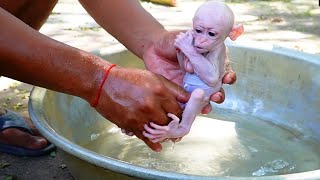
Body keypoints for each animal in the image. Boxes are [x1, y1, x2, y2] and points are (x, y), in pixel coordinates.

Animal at [142, 0, 242, 143]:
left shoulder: (218, 51)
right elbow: (186, 69)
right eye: (198, 30)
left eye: (211, 34)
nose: (201, 40)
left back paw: (177, 130)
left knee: (198, 95)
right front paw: (182, 47)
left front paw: (185, 44)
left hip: (202, 100)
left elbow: (212, 77)